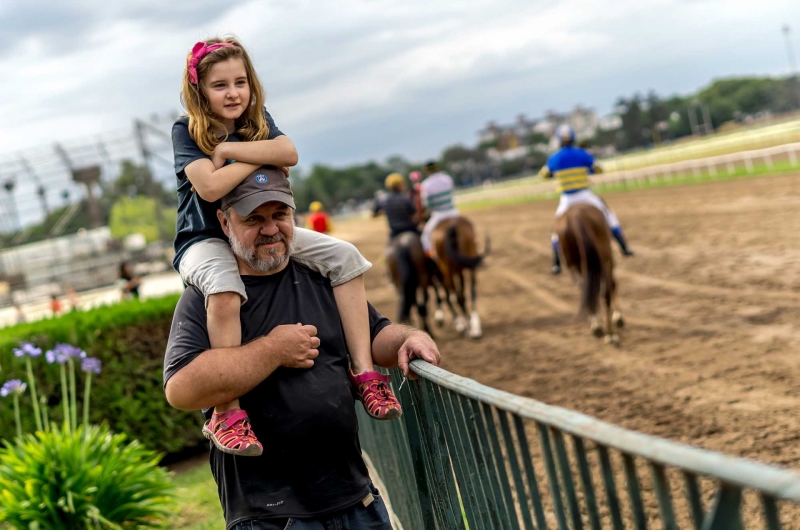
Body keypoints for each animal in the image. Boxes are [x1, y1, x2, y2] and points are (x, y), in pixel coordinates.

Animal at [556, 202, 624, 342]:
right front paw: (618, 317)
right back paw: (610, 333)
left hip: (575, 264)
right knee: (606, 292)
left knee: (587, 289)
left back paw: (599, 327)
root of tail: (575, 215)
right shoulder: (609, 259)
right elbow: (613, 285)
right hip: (605, 257)